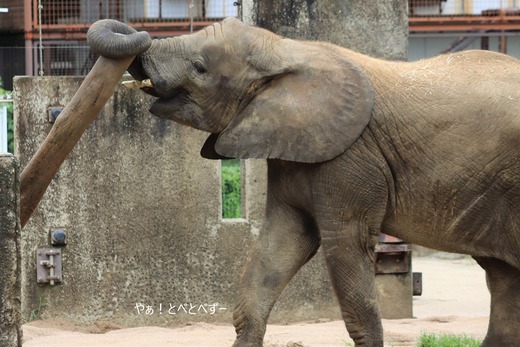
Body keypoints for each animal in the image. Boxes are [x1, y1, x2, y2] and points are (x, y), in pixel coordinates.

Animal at [87, 17, 520, 346]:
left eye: (200, 67)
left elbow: (345, 246)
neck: (286, 50)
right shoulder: (292, 150)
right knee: (503, 278)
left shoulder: (350, 157)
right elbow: (280, 244)